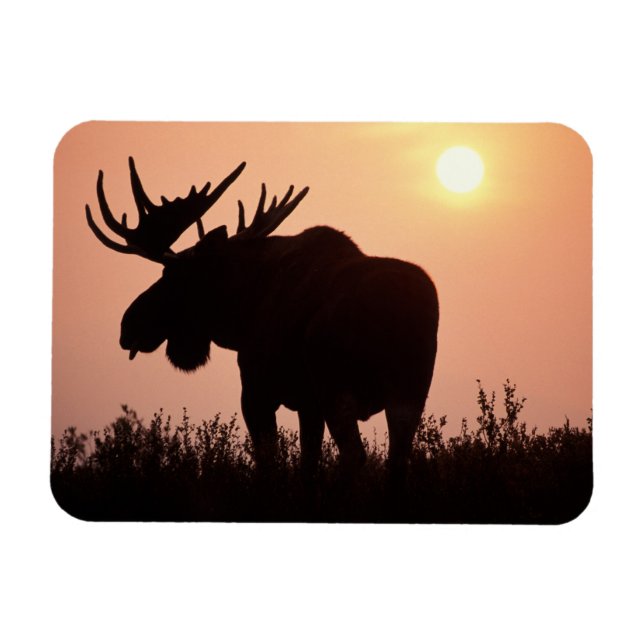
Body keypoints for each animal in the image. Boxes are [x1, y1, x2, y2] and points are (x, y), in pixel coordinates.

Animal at [86, 157, 439, 490]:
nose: (129, 325)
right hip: (409, 389)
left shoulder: (257, 392)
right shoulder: (307, 403)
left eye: (172, 275)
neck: (241, 310)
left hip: (337, 385)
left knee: (354, 455)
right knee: (398, 459)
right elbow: (308, 467)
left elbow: (269, 465)